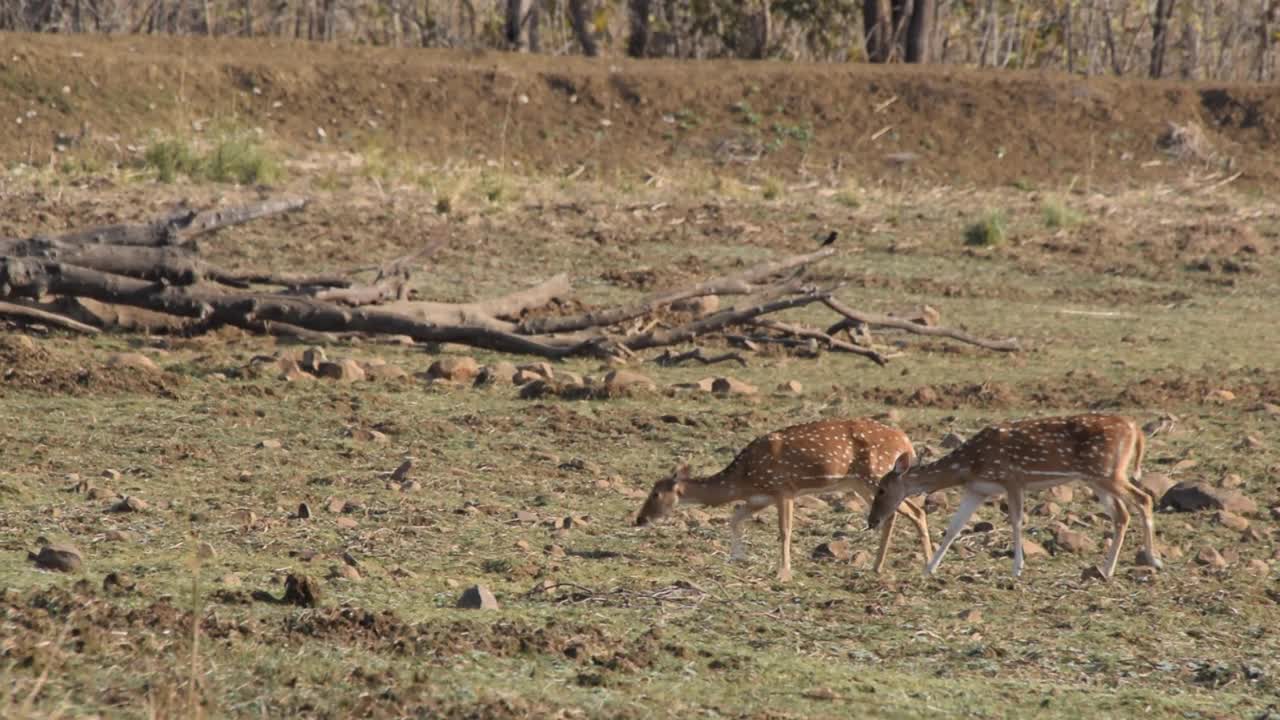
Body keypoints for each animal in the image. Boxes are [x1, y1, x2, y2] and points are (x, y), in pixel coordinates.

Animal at [634, 417, 936, 579]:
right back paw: (878, 566)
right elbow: (734, 517)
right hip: (862, 484)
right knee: (897, 512)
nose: (639, 519)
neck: (743, 478)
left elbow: (784, 530)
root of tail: (906, 442)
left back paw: (928, 564)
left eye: (655, 493)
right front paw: (736, 557)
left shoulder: (783, 489)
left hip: (874, 476)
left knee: (915, 511)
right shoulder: (761, 497)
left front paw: (784, 572)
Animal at [865, 412, 1157, 573]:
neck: (968, 465)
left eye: (881, 489)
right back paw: (1107, 569)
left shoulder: (1013, 478)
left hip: (1109, 472)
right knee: (1121, 514)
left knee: (1144, 499)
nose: (872, 520)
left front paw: (1018, 568)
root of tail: (1136, 429)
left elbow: (1016, 521)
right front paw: (929, 568)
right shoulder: (978, 489)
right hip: (1097, 478)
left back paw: (1153, 560)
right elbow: (954, 527)